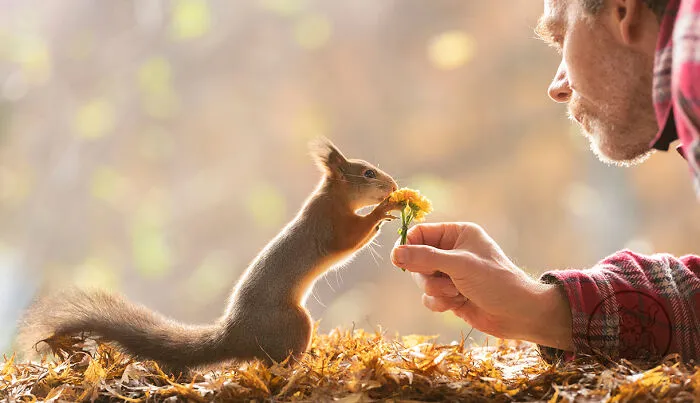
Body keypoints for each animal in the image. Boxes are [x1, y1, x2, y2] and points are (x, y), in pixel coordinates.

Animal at [15, 137, 400, 374]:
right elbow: (348, 241)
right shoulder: (330, 225)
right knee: (277, 363)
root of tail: (235, 334)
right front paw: (383, 211)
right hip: (293, 323)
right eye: (368, 173)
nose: (394, 186)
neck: (334, 197)